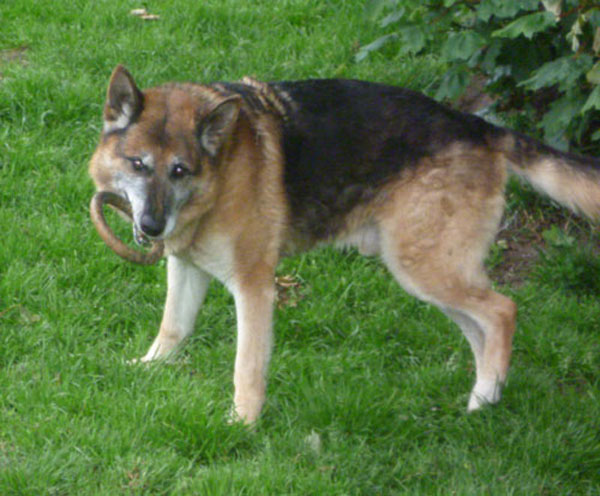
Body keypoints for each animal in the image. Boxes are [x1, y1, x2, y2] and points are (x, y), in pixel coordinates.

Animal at [89, 65, 600, 422]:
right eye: (138, 164)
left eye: (180, 170)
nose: (152, 227)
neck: (220, 174)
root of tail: (476, 125)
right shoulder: (188, 268)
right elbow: (172, 329)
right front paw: (147, 368)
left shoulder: (253, 287)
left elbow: (247, 366)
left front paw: (242, 423)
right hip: (430, 273)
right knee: (481, 329)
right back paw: (482, 399)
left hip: (425, 268)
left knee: (502, 311)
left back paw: (485, 397)